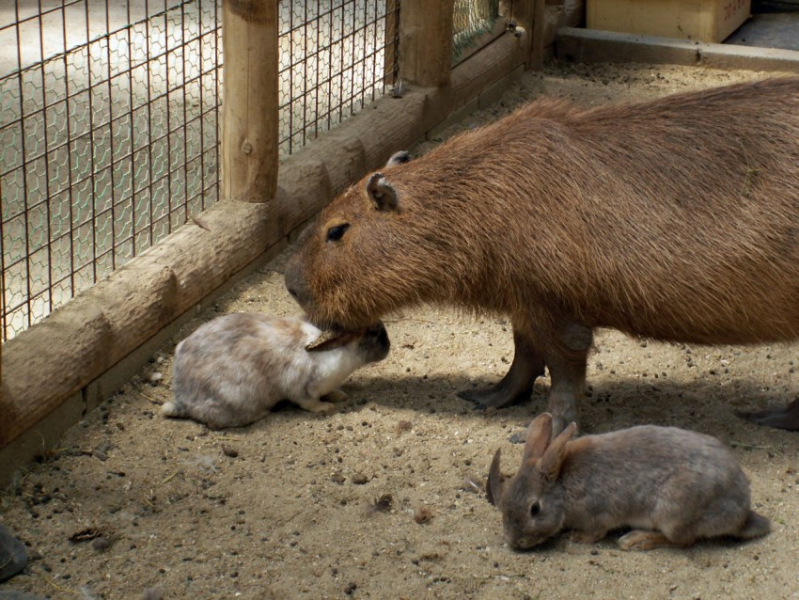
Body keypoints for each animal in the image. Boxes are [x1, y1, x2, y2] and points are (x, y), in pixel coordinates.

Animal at [161, 314, 390, 432]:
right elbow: (309, 403)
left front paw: (339, 395)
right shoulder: (301, 389)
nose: (388, 347)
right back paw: (262, 413)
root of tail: (183, 400)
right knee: (217, 422)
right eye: (373, 332)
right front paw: (327, 407)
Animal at [488, 414, 768, 552]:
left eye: (534, 509)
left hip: (674, 512)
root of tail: (741, 515)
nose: (514, 542)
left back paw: (636, 540)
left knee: (683, 540)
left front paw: (577, 538)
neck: (562, 487)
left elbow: (594, 533)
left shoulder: (598, 515)